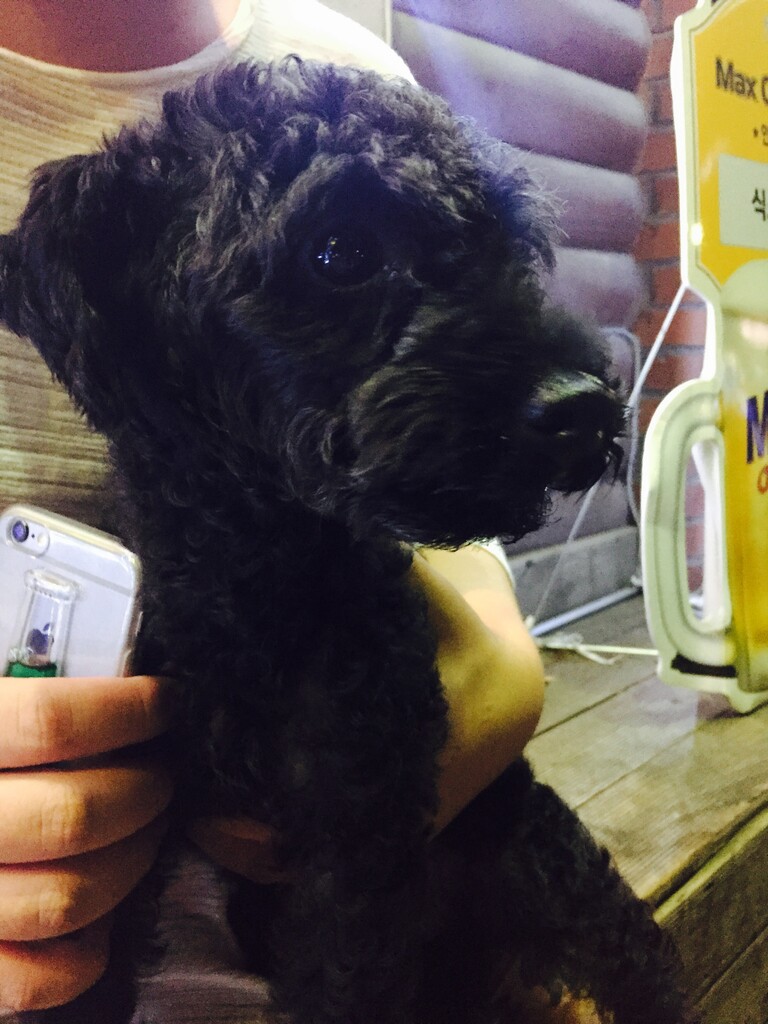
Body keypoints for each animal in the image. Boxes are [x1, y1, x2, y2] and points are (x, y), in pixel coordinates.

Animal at [0, 58, 691, 1024]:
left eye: (512, 249)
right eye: (338, 253)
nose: (584, 407)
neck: (255, 576)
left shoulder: (358, 838)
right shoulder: (131, 831)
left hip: (534, 846)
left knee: (637, 955)